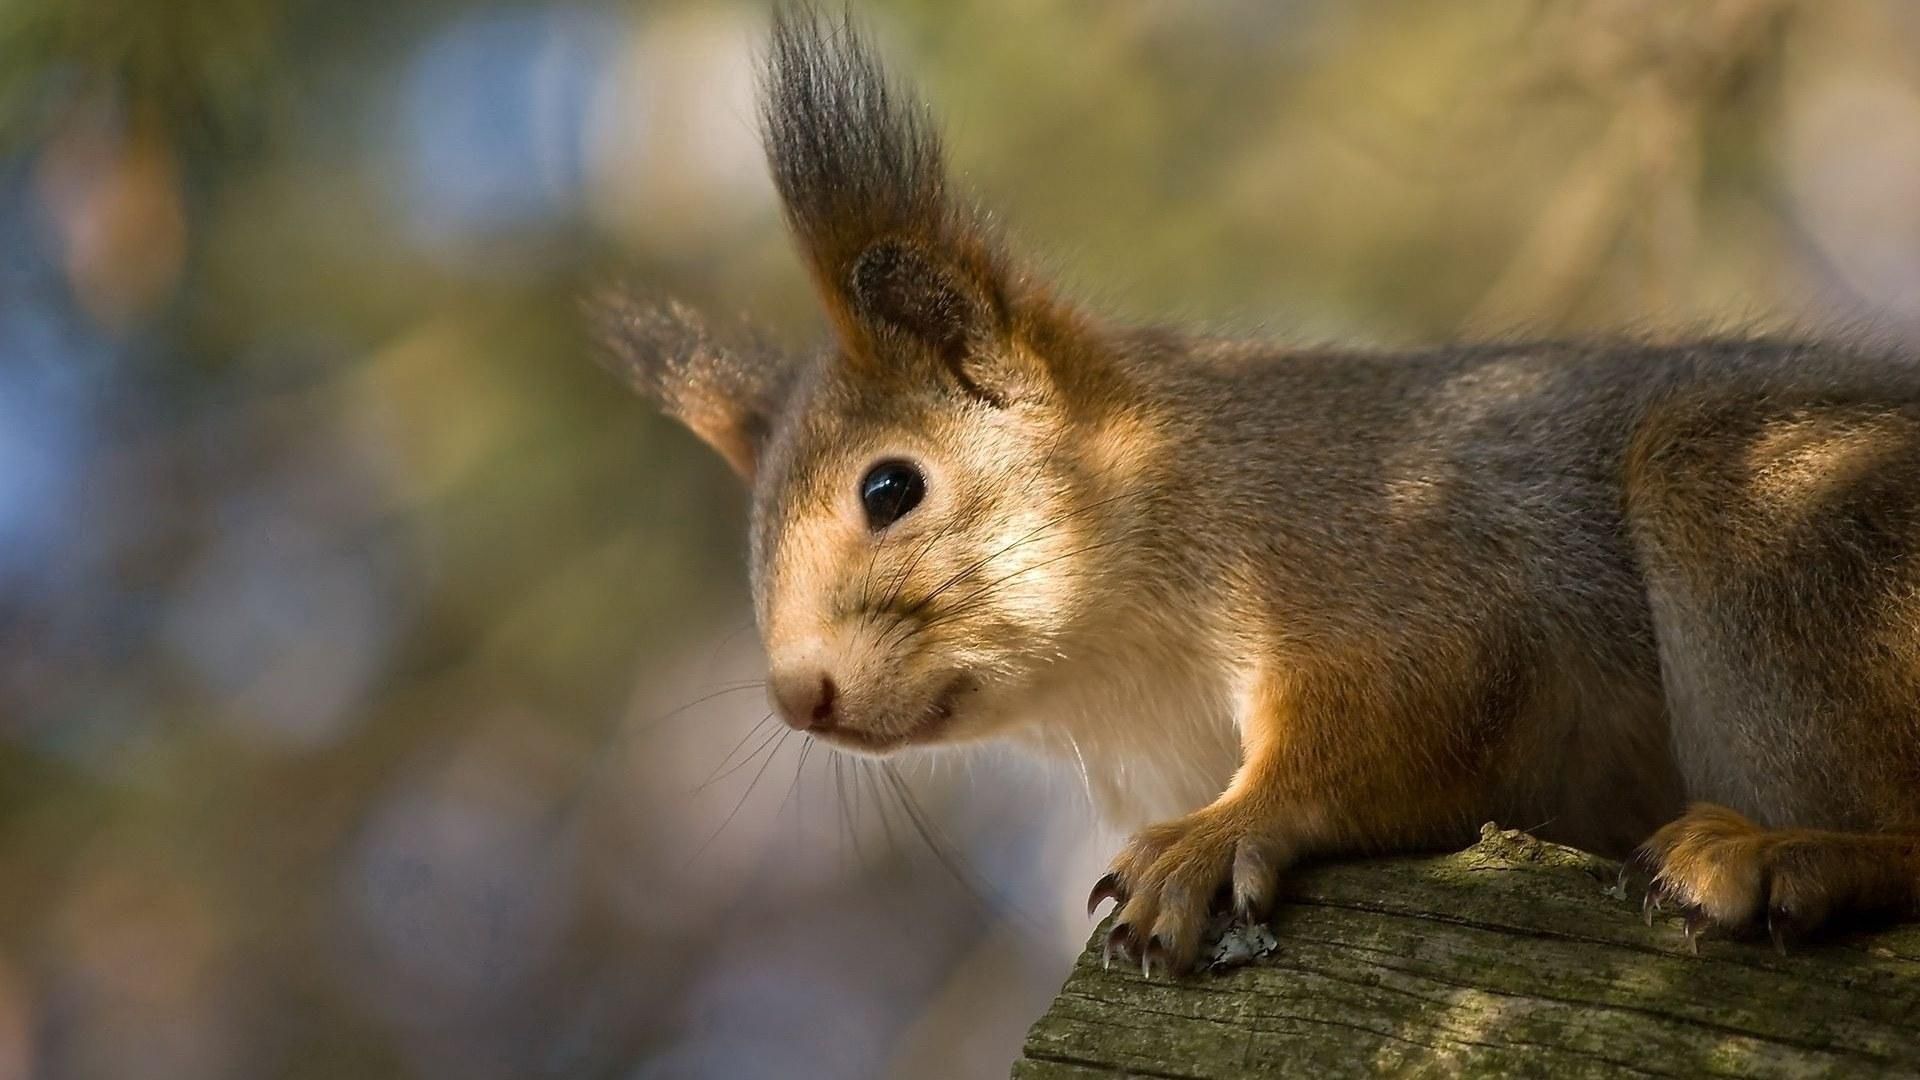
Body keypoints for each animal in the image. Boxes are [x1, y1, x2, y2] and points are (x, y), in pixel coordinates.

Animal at [595, 4, 1920, 972]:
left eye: (889, 488)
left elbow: (1409, 708)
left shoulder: (1378, 551)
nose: (799, 696)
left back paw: (1784, 855)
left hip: (1770, 509)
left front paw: (1215, 835)